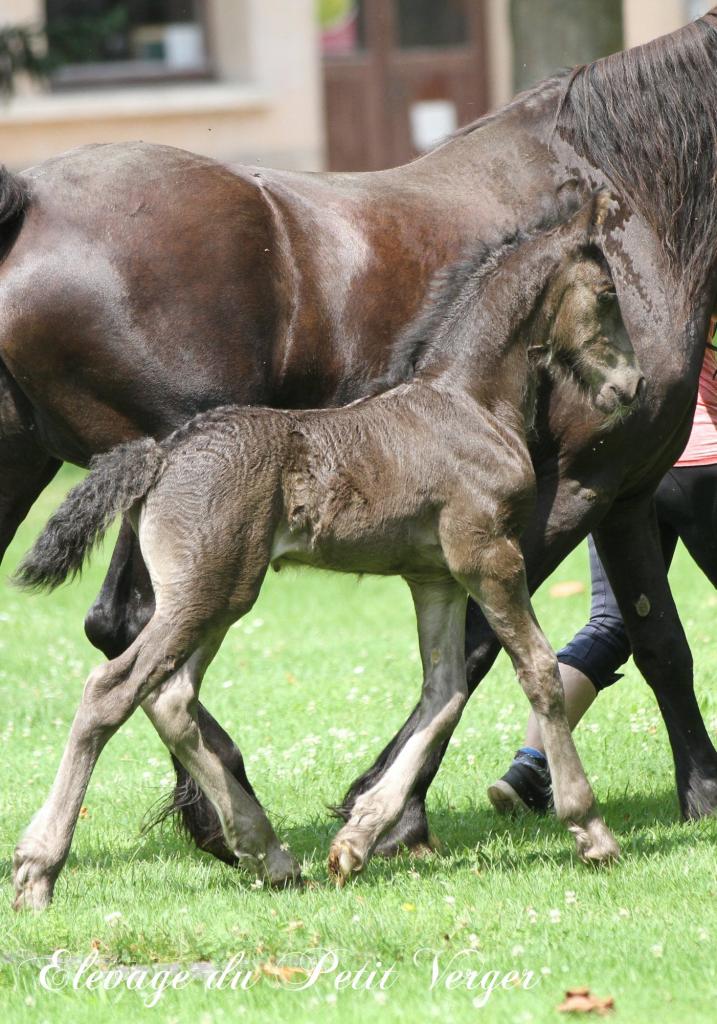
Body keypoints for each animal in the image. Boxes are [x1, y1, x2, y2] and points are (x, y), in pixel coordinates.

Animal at [14, 190, 643, 905]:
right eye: (607, 294)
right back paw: (40, 868)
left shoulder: (436, 578)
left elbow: (445, 692)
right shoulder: (488, 557)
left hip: (220, 595)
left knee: (170, 698)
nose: (632, 385)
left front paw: (358, 839)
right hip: (207, 592)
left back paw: (269, 853)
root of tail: (161, 454)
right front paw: (590, 829)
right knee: (111, 690)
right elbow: (538, 671)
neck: (468, 403)